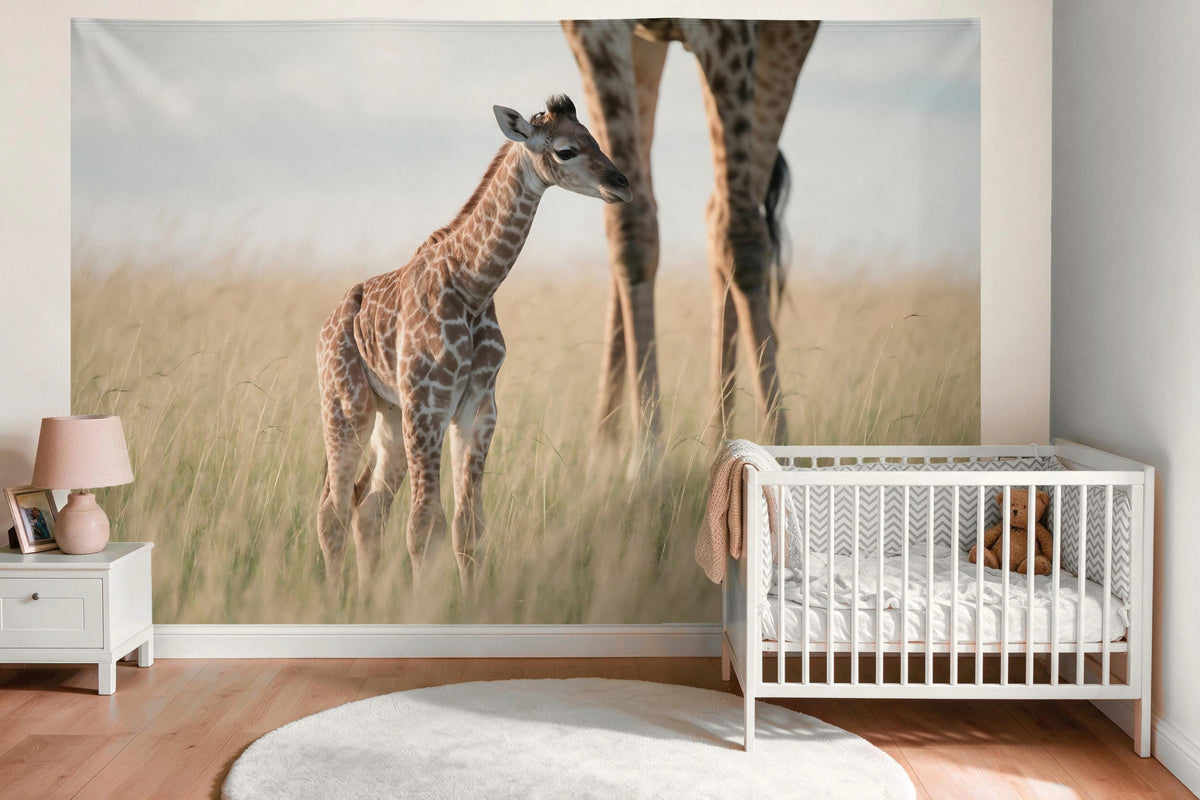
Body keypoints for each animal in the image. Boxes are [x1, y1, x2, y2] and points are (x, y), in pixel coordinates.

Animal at [316, 95, 631, 599]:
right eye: (566, 150)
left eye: (594, 138)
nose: (620, 184)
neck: (473, 286)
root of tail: (325, 328)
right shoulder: (428, 405)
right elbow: (424, 524)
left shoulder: (478, 408)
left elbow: (469, 525)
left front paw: (470, 604)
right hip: (347, 407)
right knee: (334, 508)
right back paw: (334, 600)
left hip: (390, 417)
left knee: (368, 508)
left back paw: (364, 599)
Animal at [562, 19, 820, 451]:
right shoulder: (594, 29)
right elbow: (631, 232)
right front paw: (645, 458)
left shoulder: (735, 32)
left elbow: (742, 239)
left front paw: (777, 443)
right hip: (649, 47)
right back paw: (606, 447)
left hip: (785, 39)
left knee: (731, 219)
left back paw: (725, 442)